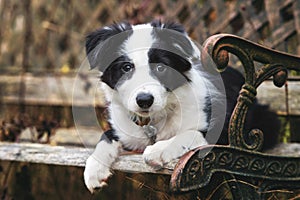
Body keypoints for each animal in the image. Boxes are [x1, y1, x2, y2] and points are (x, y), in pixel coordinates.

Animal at [82, 19, 225, 192]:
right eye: (126, 67)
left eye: (161, 67)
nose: (144, 100)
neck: (153, 120)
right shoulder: (122, 132)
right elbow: (106, 137)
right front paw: (94, 170)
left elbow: (191, 134)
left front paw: (158, 149)